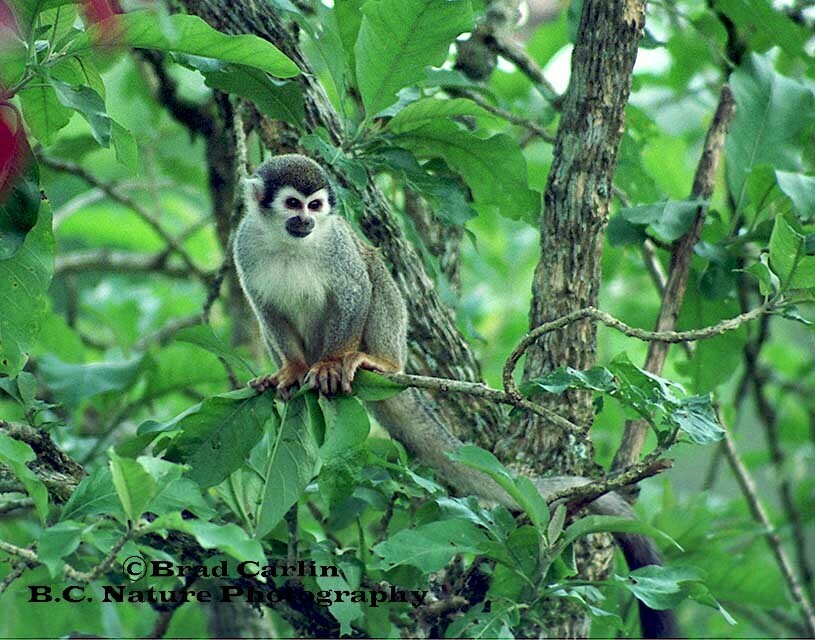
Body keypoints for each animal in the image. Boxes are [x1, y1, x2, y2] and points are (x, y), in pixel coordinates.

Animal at [233, 154, 679, 638]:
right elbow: (264, 308)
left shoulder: (334, 246)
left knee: (375, 270)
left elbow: (355, 291)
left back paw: (375, 363)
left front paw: (334, 361)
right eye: (292, 204)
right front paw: (291, 370)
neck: (288, 243)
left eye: (314, 205)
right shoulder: (245, 246)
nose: (306, 222)